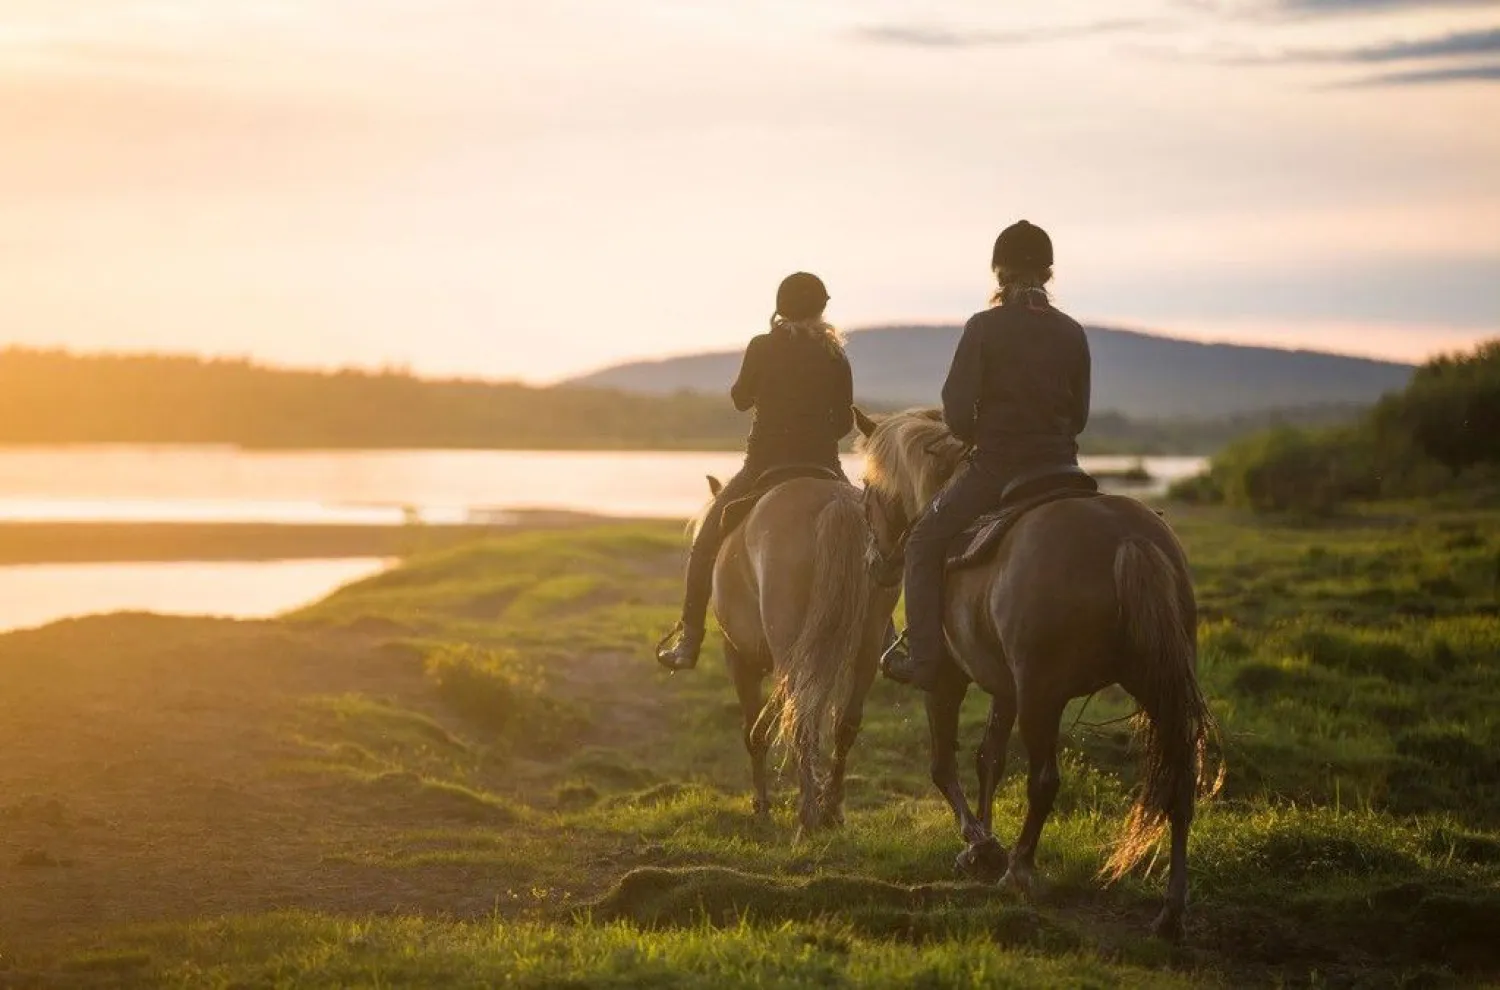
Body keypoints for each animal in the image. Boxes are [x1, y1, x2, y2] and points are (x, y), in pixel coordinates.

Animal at [690, 471, 900, 834]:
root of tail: (836, 503)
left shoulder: (738, 658)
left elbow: (753, 727)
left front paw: (761, 805)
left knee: (801, 719)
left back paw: (808, 815)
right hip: (866, 643)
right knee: (843, 722)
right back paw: (829, 808)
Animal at [858, 408, 1218, 936]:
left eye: (867, 488)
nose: (876, 565)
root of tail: (1127, 540)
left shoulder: (947, 679)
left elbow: (944, 766)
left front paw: (981, 844)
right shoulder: (1005, 688)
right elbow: (989, 759)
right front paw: (979, 848)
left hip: (1041, 696)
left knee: (1044, 780)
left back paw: (1021, 870)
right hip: (1156, 688)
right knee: (1180, 780)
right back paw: (1171, 909)